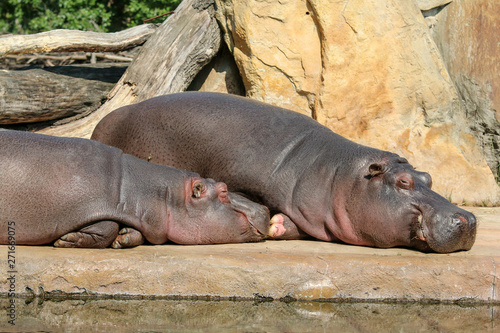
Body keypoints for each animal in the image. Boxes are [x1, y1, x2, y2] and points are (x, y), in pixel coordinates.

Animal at [92, 91, 478, 252]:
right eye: (403, 181)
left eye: (429, 178)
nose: (469, 218)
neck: (338, 176)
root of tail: (103, 122)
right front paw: (272, 223)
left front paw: (279, 225)